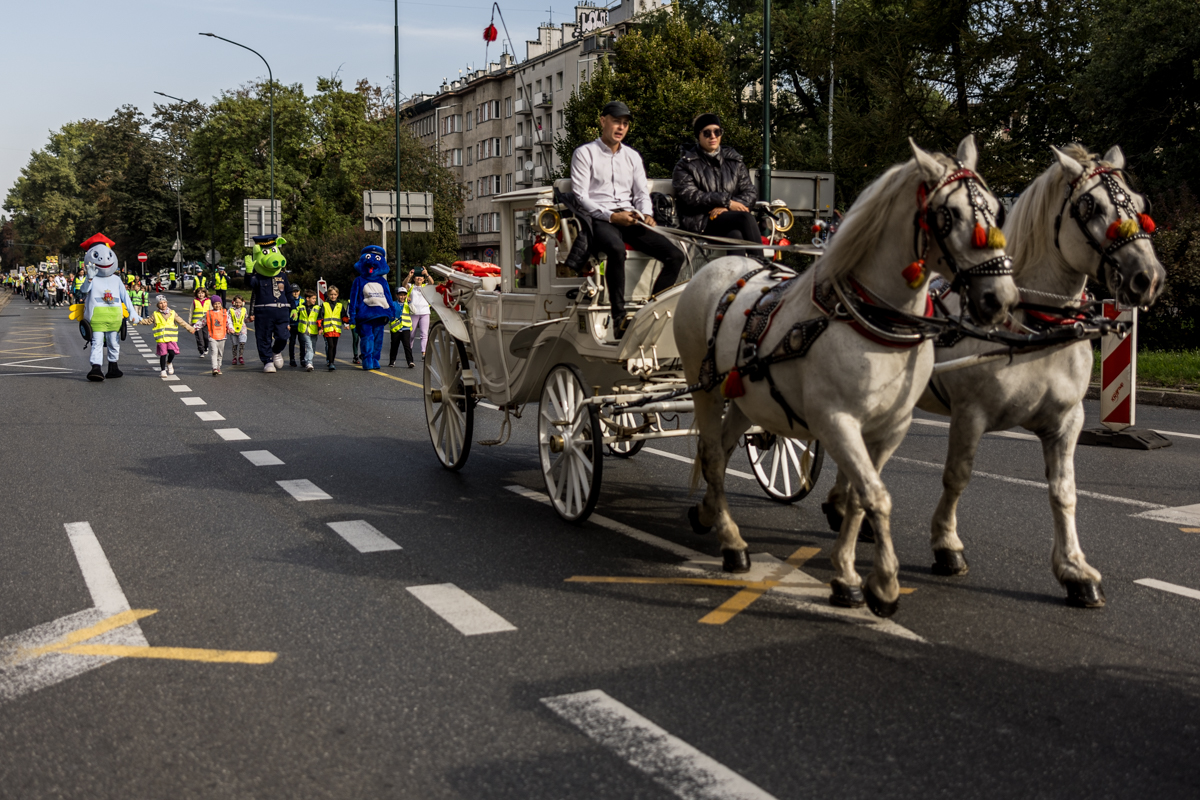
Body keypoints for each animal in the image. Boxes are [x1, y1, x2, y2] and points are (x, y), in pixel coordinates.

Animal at [676, 134, 1022, 618]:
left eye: (996, 210)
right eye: (948, 214)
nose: (999, 298)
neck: (870, 322)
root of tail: (715, 265)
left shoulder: (891, 427)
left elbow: (862, 493)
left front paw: (850, 574)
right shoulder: (836, 422)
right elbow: (876, 495)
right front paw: (881, 583)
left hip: (746, 397)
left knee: (723, 452)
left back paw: (709, 513)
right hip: (705, 388)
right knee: (710, 455)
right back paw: (732, 543)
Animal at [825, 143, 1161, 606]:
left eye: (1142, 205)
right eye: (1089, 205)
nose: (1147, 278)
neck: (1034, 324)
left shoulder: (1068, 421)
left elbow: (1064, 491)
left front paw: (1075, 569)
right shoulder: (971, 414)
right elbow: (957, 477)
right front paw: (946, 544)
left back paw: (844, 507)